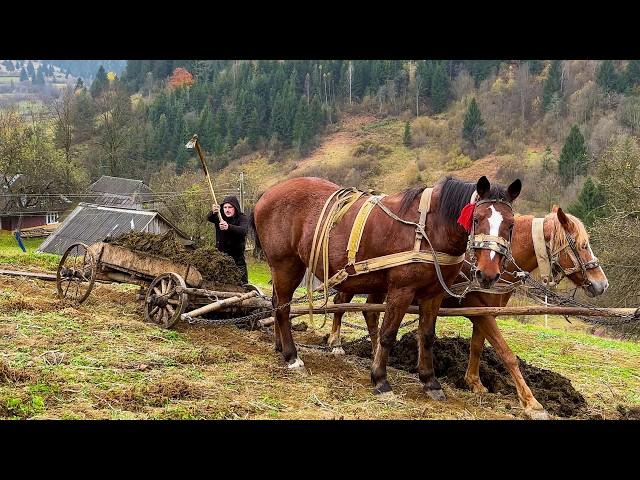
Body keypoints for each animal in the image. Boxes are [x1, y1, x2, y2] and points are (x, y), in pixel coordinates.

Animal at [252, 174, 524, 396]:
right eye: (477, 219)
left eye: (511, 224)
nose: (487, 273)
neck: (429, 228)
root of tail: (267, 193)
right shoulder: (401, 291)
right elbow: (387, 333)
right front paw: (380, 379)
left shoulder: (433, 294)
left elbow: (427, 336)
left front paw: (430, 381)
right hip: (286, 263)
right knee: (283, 307)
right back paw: (291, 356)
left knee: (277, 303)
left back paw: (280, 346)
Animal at [330, 206, 608, 420]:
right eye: (583, 245)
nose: (601, 284)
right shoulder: (481, 311)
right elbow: (506, 354)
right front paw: (531, 403)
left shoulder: (483, 312)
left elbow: (477, 346)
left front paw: (474, 382)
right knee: (342, 302)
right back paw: (337, 343)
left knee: (370, 313)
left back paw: (374, 350)